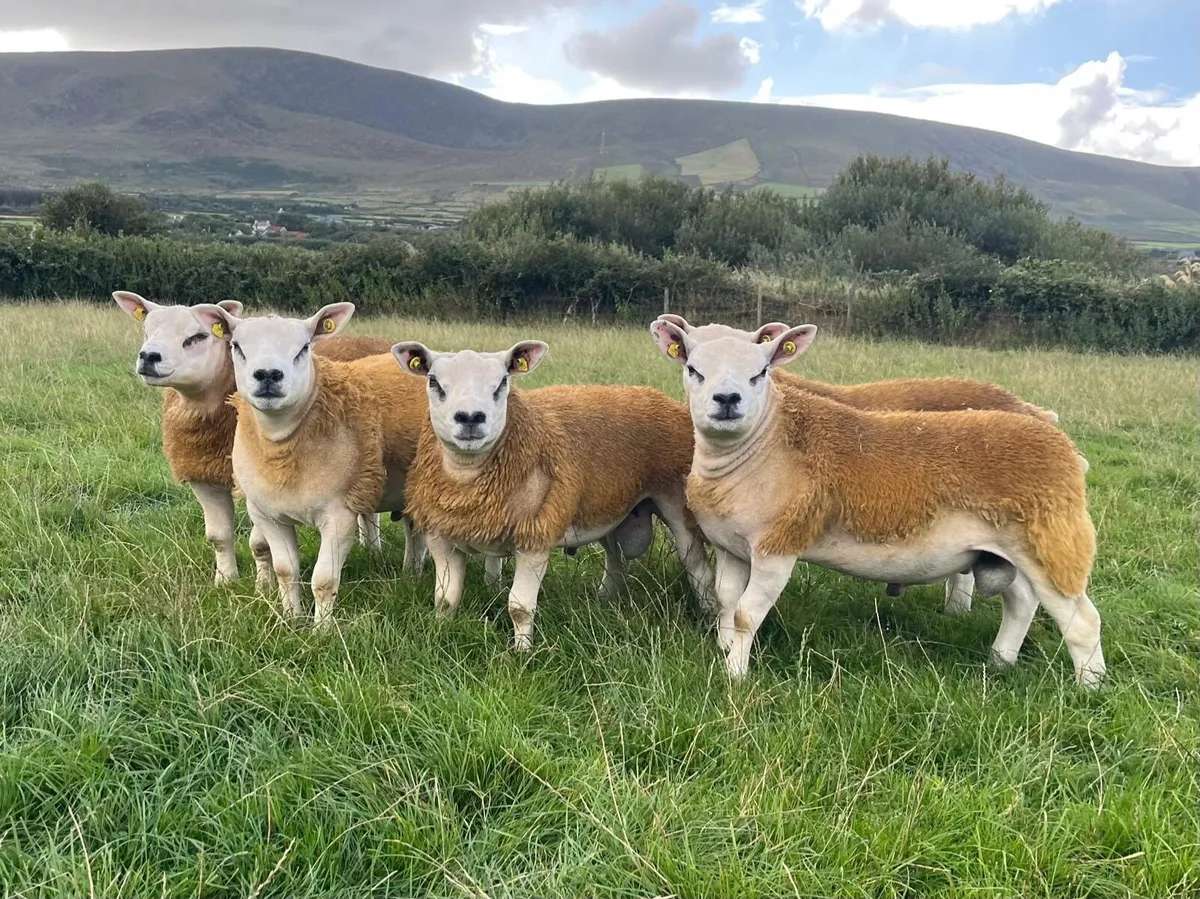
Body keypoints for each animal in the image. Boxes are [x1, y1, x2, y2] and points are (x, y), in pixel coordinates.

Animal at [114, 291, 391, 586]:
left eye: (198, 336)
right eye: (146, 331)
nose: (149, 356)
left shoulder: (256, 489)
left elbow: (260, 544)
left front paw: (263, 585)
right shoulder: (203, 475)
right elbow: (218, 537)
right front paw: (225, 580)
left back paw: (373, 550)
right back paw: (368, 550)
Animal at [189, 301, 428, 627]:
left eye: (304, 347)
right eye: (236, 346)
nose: (268, 375)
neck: (281, 445)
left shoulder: (339, 515)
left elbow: (324, 580)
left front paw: (321, 629)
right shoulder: (267, 515)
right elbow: (285, 571)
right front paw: (291, 620)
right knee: (414, 532)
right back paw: (410, 575)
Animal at [391, 340, 715, 649]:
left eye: (502, 382)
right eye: (434, 381)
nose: (470, 418)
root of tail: (656, 397)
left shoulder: (534, 538)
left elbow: (520, 608)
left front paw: (522, 653)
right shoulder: (441, 537)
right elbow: (445, 599)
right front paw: (439, 632)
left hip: (676, 502)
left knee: (697, 568)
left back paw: (710, 616)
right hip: (610, 507)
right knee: (617, 559)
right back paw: (603, 601)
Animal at [650, 319, 1104, 687]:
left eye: (760, 372)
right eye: (693, 369)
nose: (727, 400)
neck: (762, 446)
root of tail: (1058, 439)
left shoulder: (778, 547)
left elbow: (747, 614)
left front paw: (735, 678)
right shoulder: (731, 546)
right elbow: (727, 604)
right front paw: (725, 652)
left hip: (1054, 545)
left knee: (1082, 621)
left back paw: (1090, 689)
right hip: (1006, 551)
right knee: (1022, 603)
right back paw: (1000, 663)